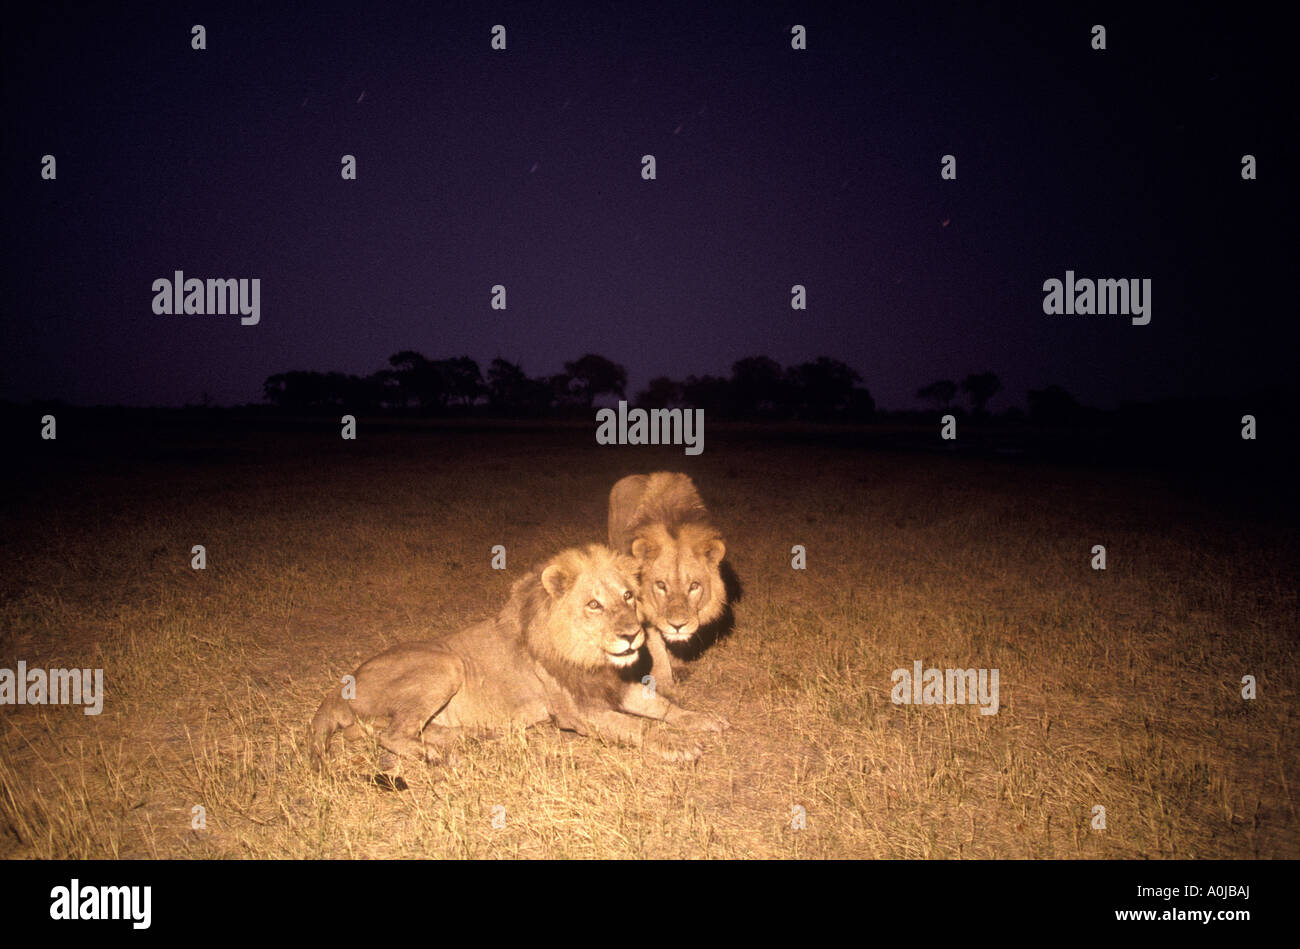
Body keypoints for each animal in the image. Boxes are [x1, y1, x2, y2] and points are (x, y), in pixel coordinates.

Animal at [310, 544, 727, 770]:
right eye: (593, 604)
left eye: (628, 596)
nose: (633, 636)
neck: (589, 657)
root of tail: (338, 689)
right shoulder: (578, 712)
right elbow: (638, 726)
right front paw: (677, 745)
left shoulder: (613, 686)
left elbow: (663, 707)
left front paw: (703, 720)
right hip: (445, 663)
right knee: (391, 735)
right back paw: (441, 757)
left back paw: (468, 738)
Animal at [607, 472, 727, 687]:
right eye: (661, 585)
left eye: (694, 585)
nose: (677, 626)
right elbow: (657, 647)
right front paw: (663, 683)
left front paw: (678, 665)